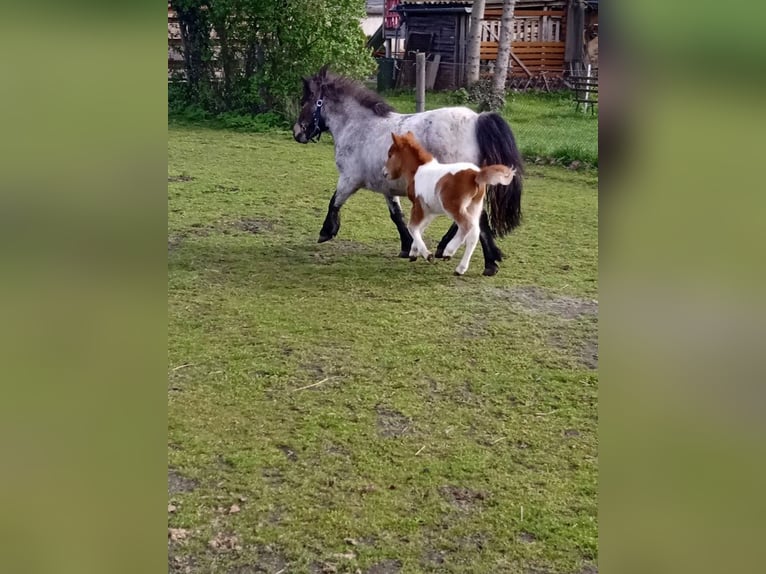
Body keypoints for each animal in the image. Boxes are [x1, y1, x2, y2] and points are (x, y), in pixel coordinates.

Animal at [382, 134, 516, 278]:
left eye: (390, 155)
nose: (384, 172)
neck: (418, 170)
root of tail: (475, 175)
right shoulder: (429, 210)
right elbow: (420, 228)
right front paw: (413, 252)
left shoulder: (418, 205)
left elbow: (412, 227)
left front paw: (427, 255)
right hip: (474, 207)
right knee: (474, 234)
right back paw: (460, 268)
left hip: (453, 207)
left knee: (466, 225)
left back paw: (449, 251)